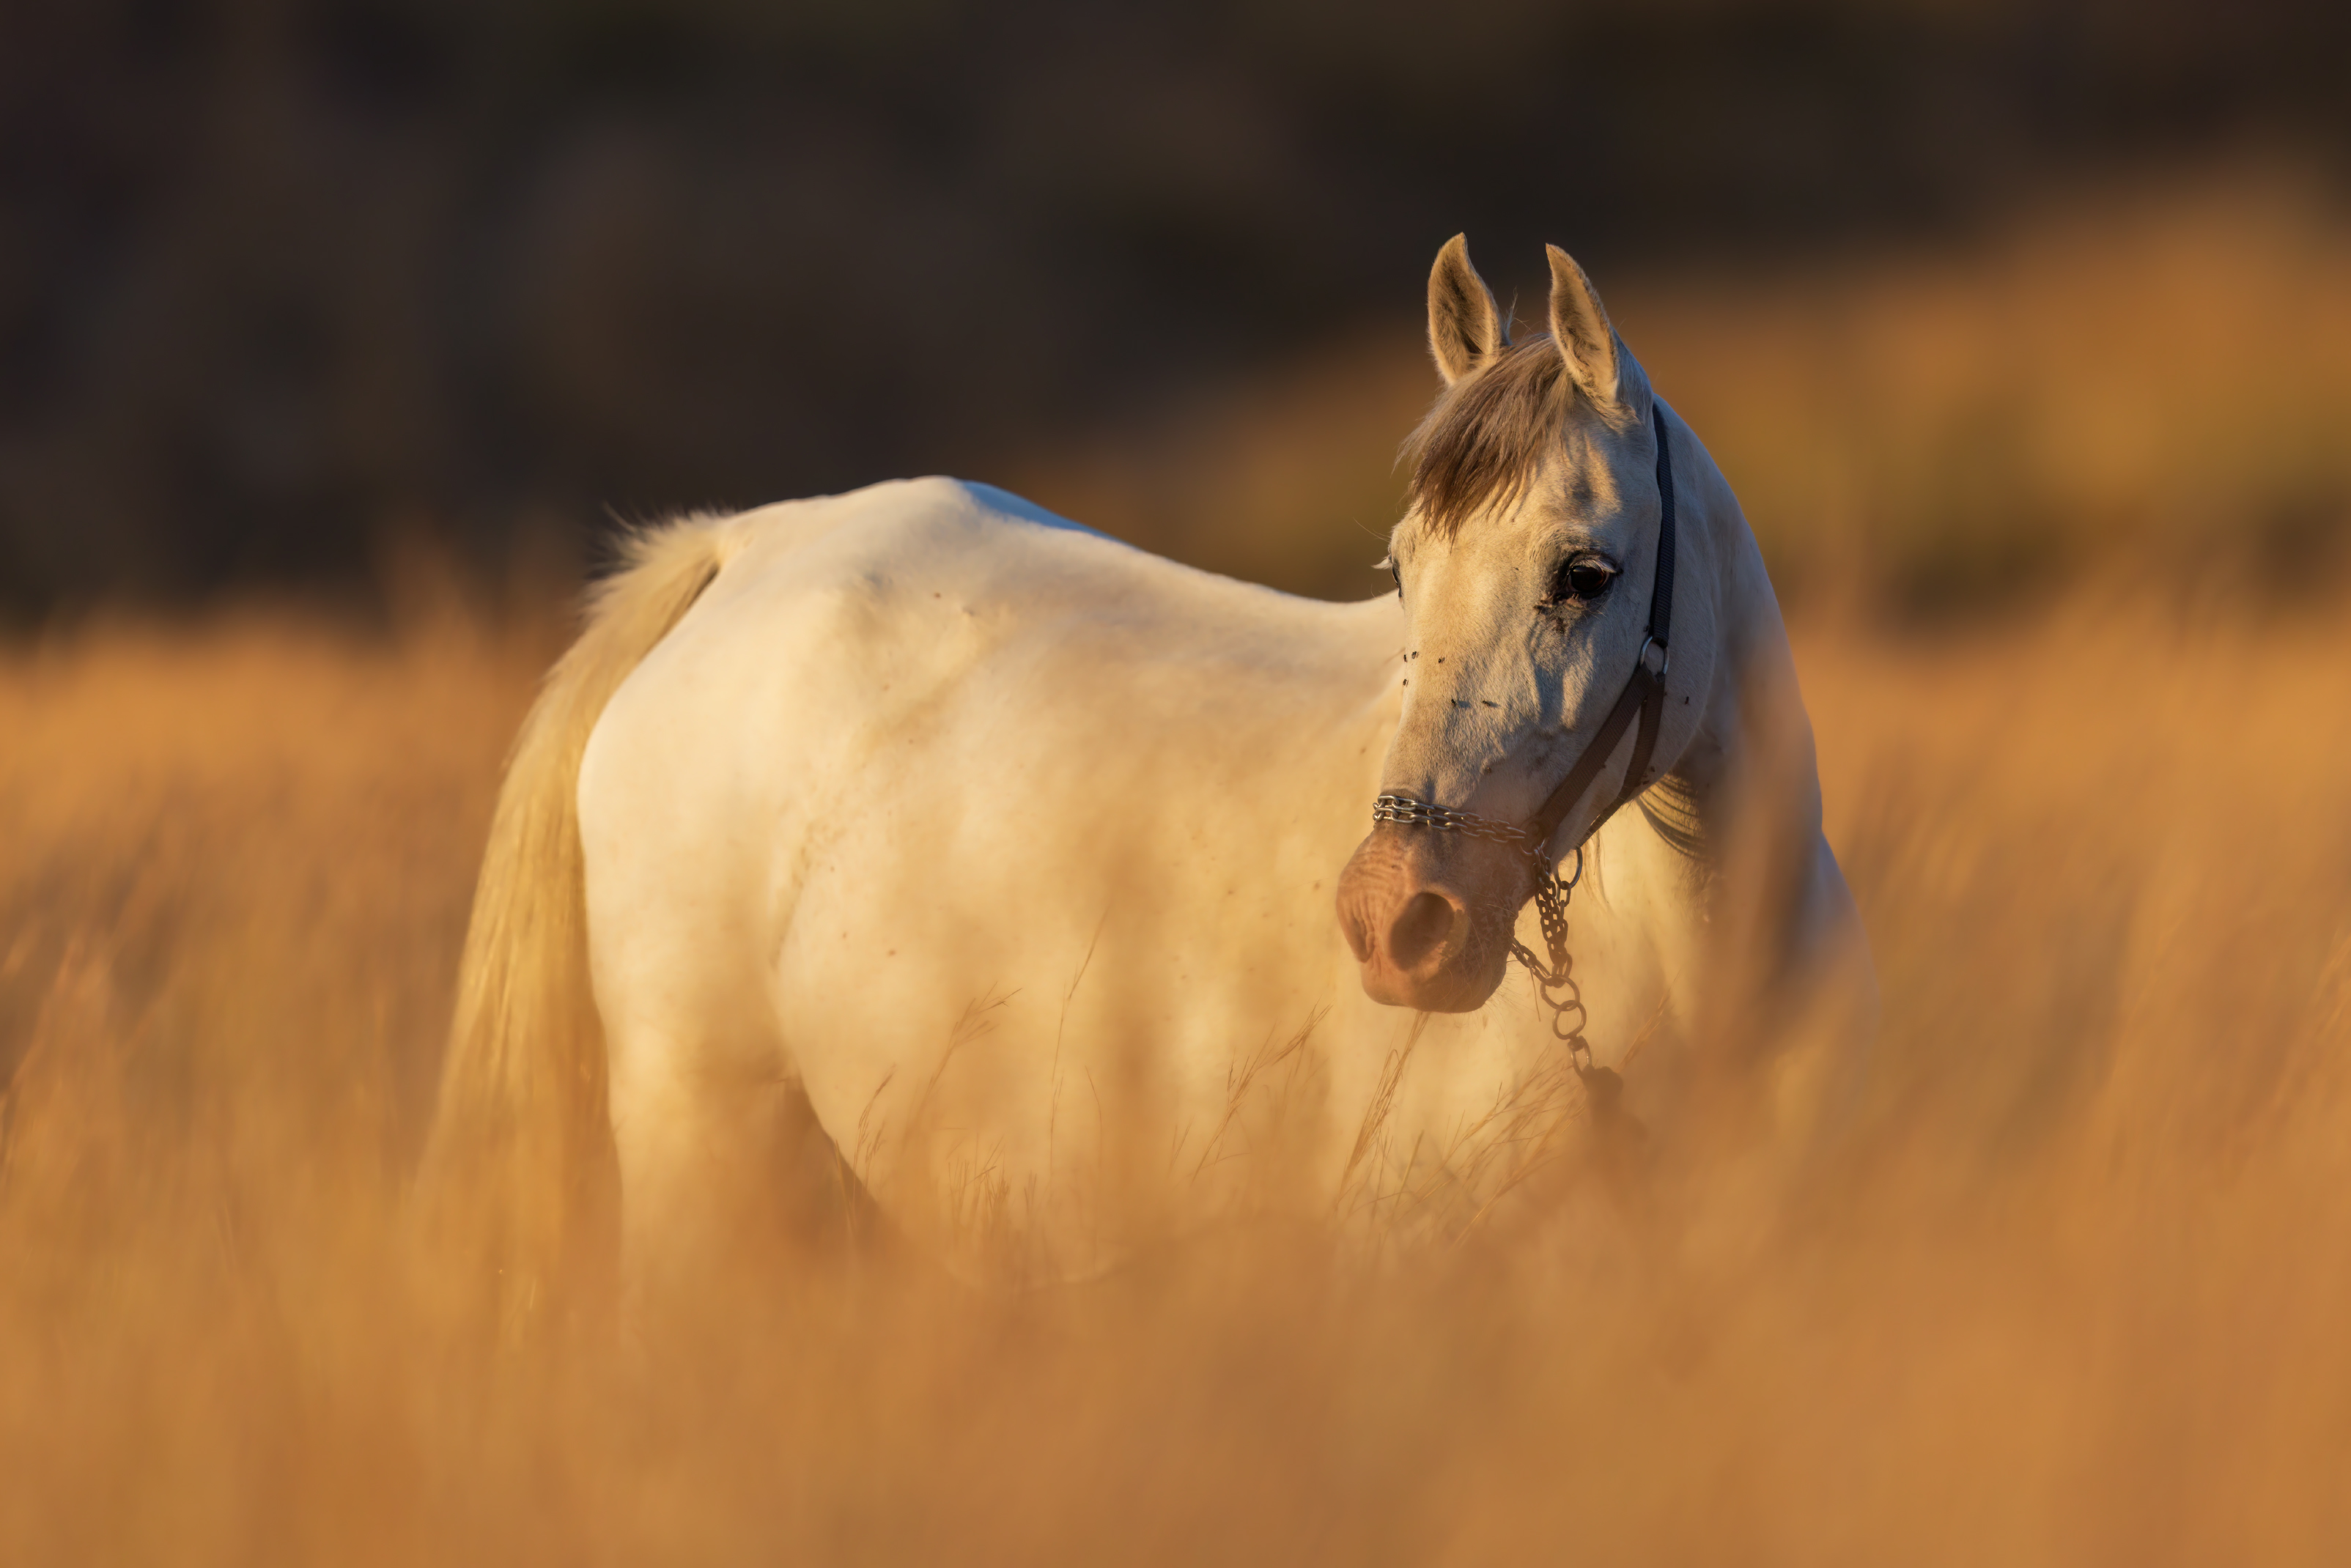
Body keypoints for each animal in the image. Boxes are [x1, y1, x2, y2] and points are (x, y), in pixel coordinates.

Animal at [427, 236, 1871, 1316]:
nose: (1395, 922)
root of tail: (745, 548)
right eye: (1403, 568)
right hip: (709, 1167)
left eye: (1586, 573)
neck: (1714, 984)